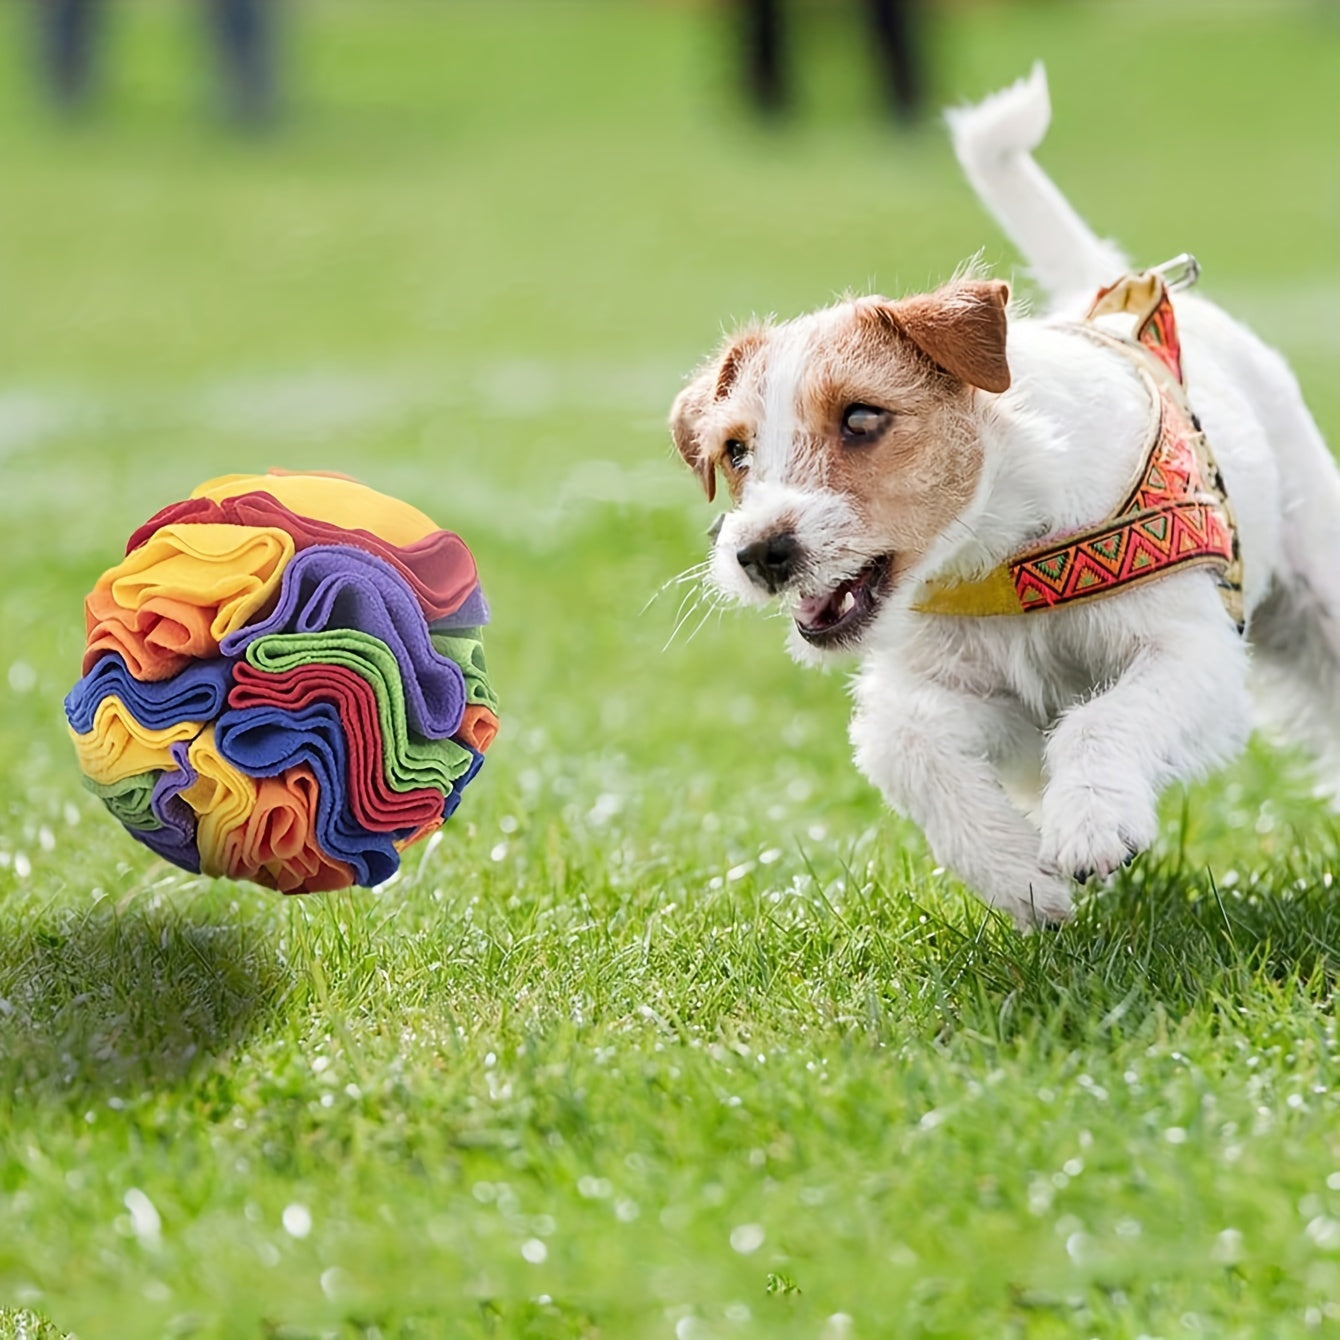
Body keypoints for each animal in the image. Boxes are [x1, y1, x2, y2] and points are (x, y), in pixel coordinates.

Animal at [667, 68, 1340, 927]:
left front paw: (1091, 824)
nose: (759, 553)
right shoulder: (983, 699)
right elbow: (902, 743)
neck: (1002, 550)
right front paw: (1018, 873)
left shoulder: (1192, 653)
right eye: (736, 451)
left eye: (862, 417)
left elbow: (1103, 719)